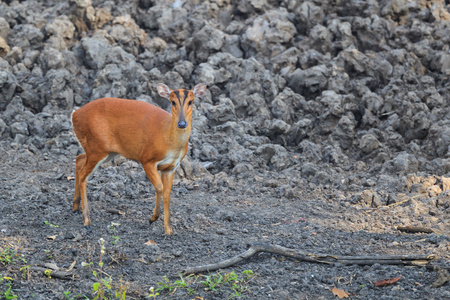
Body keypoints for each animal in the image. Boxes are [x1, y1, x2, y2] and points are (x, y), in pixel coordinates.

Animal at [72, 83, 207, 236]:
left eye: (191, 101)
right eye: (172, 102)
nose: (182, 123)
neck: (168, 138)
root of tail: (75, 114)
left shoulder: (171, 167)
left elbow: (167, 193)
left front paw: (168, 229)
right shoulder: (147, 159)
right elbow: (159, 187)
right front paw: (152, 218)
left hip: (103, 151)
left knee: (79, 159)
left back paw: (76, 208)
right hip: (97, 147)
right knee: (83, 175)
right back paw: (87, 221)